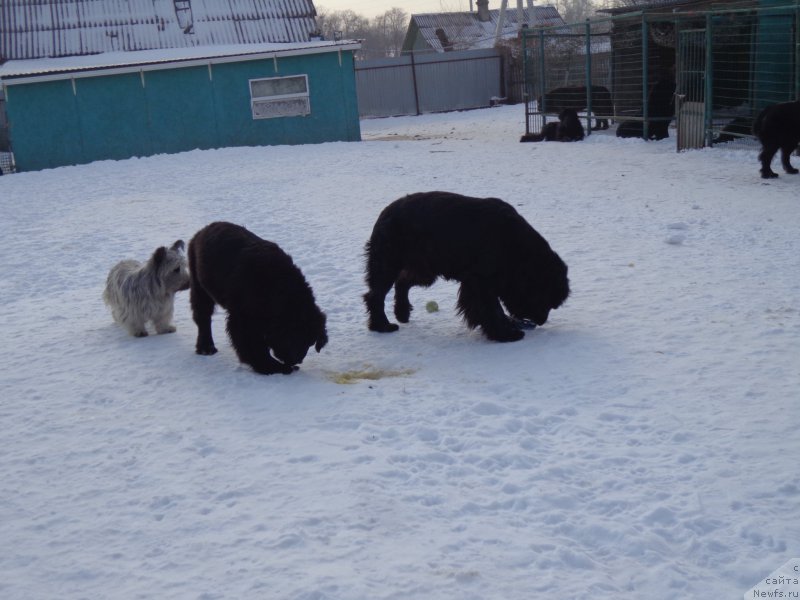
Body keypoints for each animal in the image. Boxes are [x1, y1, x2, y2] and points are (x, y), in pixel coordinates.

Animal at [188, 223, 328, 376]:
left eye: (311, 342)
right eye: (298, 337)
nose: (297, 361)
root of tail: (202, 231)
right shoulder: (243, 318)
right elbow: (253, 345)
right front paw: (271, 366)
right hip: (200, 287)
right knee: (203, 317)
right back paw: (206, 348)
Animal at [362, 192, 568, 342]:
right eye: (544, 299)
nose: (541, 321)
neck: (516, 249)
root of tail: (385, 213)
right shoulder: (480, 283)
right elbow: (491, 309)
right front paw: (505, 333)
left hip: (425, 268)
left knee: (402, 282)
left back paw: (402, 313)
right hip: (387, 264)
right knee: (375, 295)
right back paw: (382, 325)